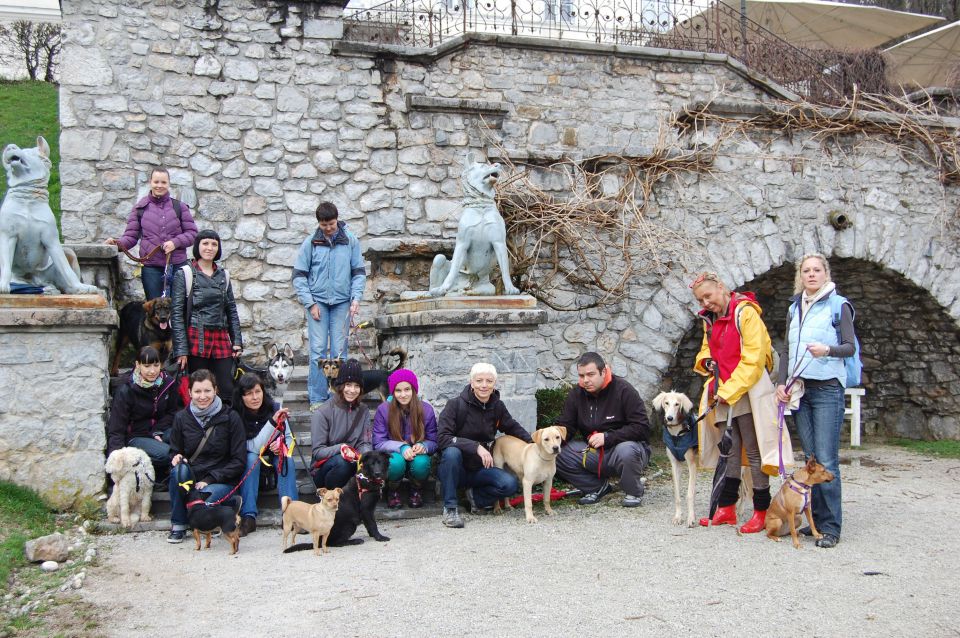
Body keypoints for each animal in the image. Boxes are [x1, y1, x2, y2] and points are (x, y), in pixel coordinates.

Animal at [0, 136, 99, 296]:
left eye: (30, 152)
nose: (10, 147)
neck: (28, 200)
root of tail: (36, 280)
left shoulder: (50, 238)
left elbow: (66, 269)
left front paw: (80, 287)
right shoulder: (8, 235)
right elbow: (5, 265)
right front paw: (3, 285)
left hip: (68, 252)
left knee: (62, 283)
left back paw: (66, 289)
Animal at [428, 160, 516, 300]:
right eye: (484, 166)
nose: (498, 164)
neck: (481, 206)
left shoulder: (499, 242)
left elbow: (505, 269)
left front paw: (510, 288)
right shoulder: (462, 243)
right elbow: (453, 270)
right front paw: (443, 288)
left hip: (485, 286)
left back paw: (466, 291)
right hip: (439, 259)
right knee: (439, 265)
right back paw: (439, 291)